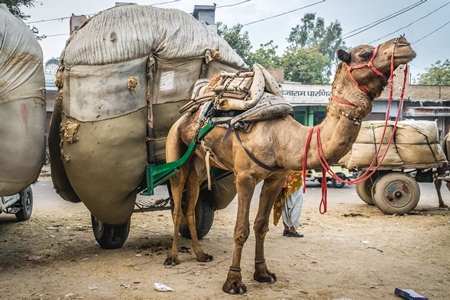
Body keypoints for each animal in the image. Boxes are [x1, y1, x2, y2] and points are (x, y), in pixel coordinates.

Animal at [164, 35, 414, 292]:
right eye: (364, 54)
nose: (403, 44)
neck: (281, 137)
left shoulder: (276, 177)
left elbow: (261, 225)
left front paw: (263, 272)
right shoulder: (245, 177)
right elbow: (241, 229)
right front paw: (234, 281)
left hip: (199, 164)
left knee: (191, 202)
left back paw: (200, 255)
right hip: (175, 148)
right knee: (178, 199)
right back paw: (173, 257)